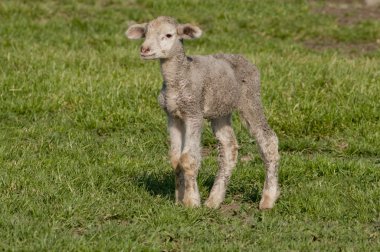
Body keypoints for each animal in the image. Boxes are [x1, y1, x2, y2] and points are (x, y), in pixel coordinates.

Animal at [126, 15, 280, 209]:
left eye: (169, 35)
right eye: (145, 33)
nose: (144, 49)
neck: (180, 78)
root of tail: (245, 59)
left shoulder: (194, 113)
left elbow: (188, 159)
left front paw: (191, 201)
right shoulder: (172, 115)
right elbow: (175, 159)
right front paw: (179, 200)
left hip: (250, 98)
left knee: (268, 140)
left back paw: (268, 199)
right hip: (220, 110)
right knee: (229, 147)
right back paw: (214, 200)